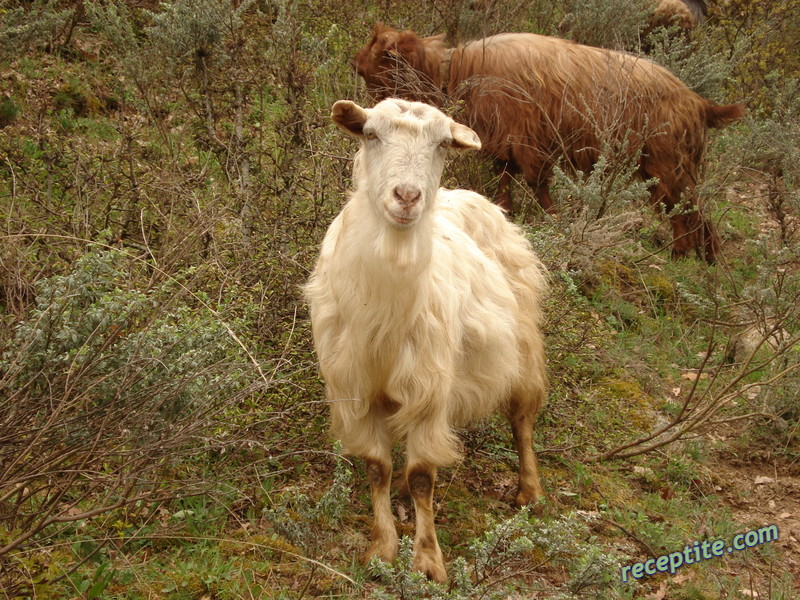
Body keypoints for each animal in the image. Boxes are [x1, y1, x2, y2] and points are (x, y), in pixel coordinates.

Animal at [304, 98, 548, 580]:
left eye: (441, 145)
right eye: (371, 135)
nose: (406, 197)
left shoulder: (428, 389)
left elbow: (422, 478)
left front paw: (428, 562)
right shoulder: (356, 389)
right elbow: (376, 468)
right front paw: (382, 549)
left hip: (523, 345)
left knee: (521, 418)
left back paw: (529, 491)